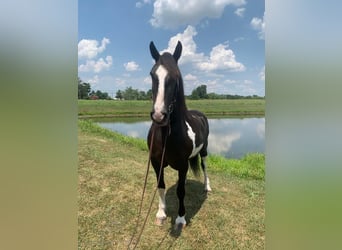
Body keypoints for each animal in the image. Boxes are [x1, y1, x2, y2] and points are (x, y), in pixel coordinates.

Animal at [147, 40, 211, 228]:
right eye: (152, 74)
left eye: (176, 76)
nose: (159, 116)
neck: (166, 136)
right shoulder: (156, 162)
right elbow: (160, 185)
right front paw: (161, 213)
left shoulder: (182, 165)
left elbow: (180, 191)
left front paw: (181, 218)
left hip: (204, 150)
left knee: (204, 166)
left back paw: (207, 187)